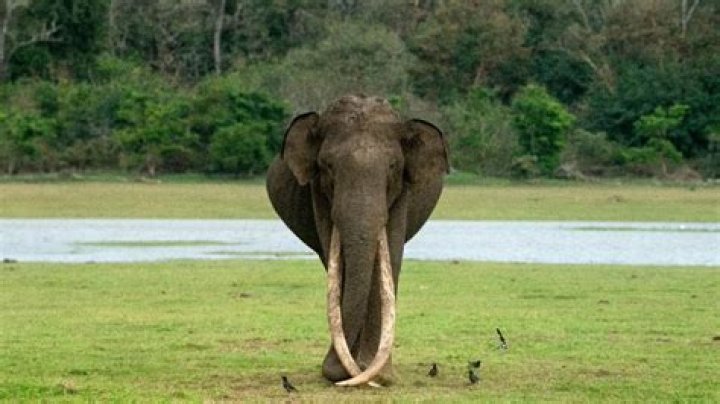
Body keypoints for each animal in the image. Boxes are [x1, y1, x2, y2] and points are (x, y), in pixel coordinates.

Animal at [266, 94, 448, 386]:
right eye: (328, 166)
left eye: (393, 167)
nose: (337, 372)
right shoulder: (318, 191)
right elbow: (337, 260)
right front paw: (350, 370)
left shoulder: (403, 192)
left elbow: (391, 257)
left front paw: (381, 375)